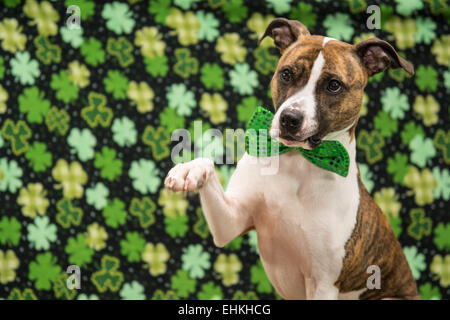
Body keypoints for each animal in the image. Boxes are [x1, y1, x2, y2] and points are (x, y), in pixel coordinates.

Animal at [163, 18, 420, 300]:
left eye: (334, 85)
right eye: (286, 74)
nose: (290, 119)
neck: (298, 160)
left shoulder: (323, 284)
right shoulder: (232, 221)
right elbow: (207, 165)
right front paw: (188, 170)